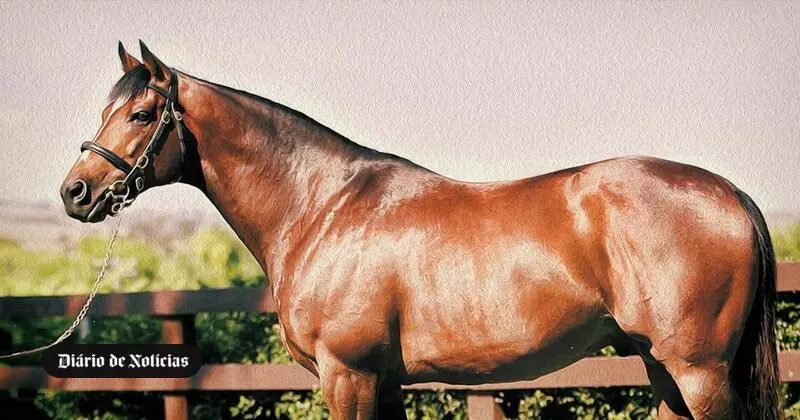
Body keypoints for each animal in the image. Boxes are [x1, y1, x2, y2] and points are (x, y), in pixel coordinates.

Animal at [60, 41, 780, 419]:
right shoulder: (382, 380)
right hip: (663, 368)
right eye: (107, 108)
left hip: (697, 370)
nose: (76, 192)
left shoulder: (346, 375)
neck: (321, 207)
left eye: (142, 113)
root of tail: (731, 194)